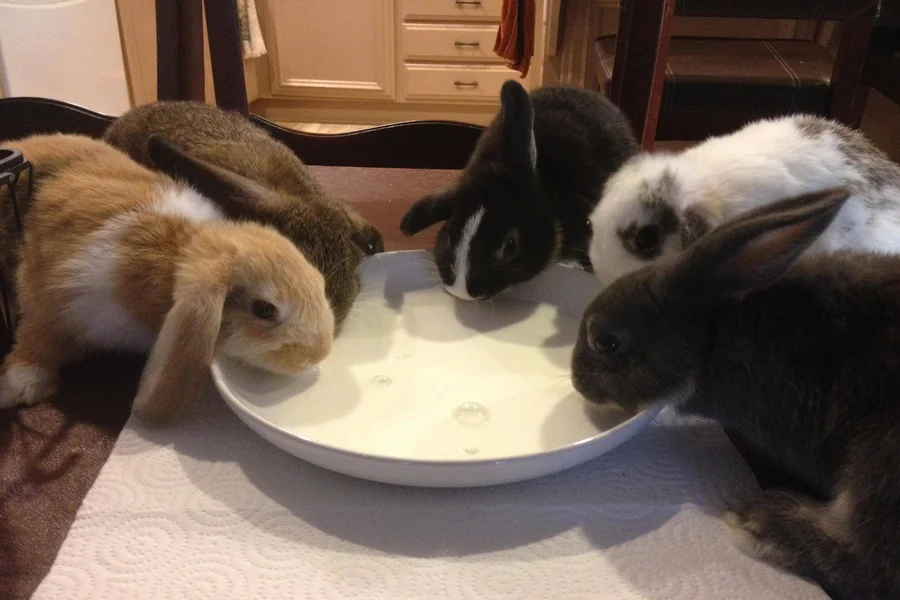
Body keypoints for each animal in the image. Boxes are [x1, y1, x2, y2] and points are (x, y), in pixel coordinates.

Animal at [0, 134, 334, 425]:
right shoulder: (52, 299)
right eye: (265, 309)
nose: (319, 353)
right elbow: (36, 339)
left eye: (318, 281)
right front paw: (19, 387)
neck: (173, 259)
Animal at [571, 186, 900, 600]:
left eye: (605, 341)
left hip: (880, 458)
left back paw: (764, 522)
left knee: (872, 567)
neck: (715, 340)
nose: (576, 381)